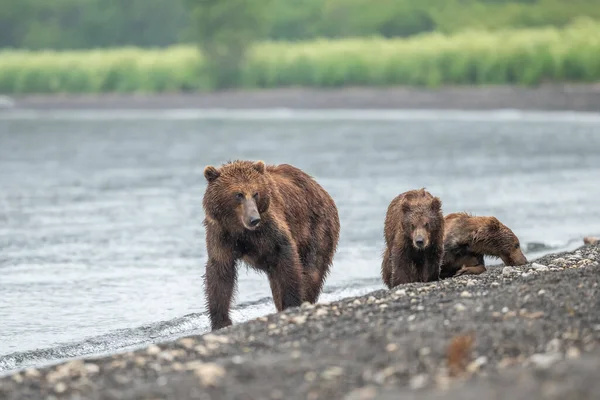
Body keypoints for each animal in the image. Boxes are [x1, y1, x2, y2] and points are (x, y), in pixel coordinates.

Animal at [202, 159, 340, 332]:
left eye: (255, 193)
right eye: (238, 194)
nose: (254, 219)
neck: (240, 229)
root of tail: (322, 190)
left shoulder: (271, 230)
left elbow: (288, 261)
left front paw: (291, 304)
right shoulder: (221, 235)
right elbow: (220, 273)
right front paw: (221, 322)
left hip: (317, 227)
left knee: (312, 270)